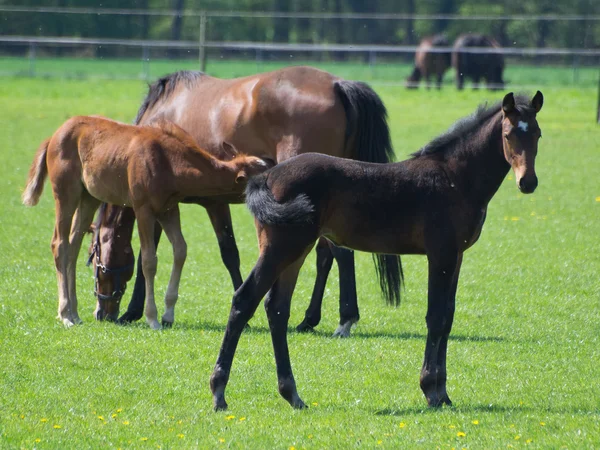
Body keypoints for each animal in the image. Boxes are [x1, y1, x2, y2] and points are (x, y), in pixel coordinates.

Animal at [22, 114, 268, 328]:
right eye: (261, 177)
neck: (168, 161)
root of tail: (53, 137)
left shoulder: (169, 209)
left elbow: (181, 250)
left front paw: (168, 313)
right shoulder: (143, 209)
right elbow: (149, 260)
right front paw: (153, 318)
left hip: (89, 197)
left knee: (73, 245)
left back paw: (74, 312)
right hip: (66, 193)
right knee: (60, 244)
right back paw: (65, 314)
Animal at [94, 67, 396, 338]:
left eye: (96, 261)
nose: (101, 313)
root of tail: (337, 84)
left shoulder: (176, 204)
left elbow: (155, 253)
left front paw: (133, 311)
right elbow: (230, 253)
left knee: (340, 254)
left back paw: (345, 319)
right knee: (326, 255)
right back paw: (309, 319)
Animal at [210, 89, 544, 410]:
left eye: (538, 134)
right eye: (508, 134)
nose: (528, 182)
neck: (455, 178)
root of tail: (265, 176)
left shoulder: (457, 256)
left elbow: (448, 317)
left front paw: (444, 393)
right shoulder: (441, 254)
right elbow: (435, 317)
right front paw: (431, 390)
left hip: (295, 251)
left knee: (277, 309)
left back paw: (292, 395)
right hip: (282, 247)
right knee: (244, 300)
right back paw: (219, 393)